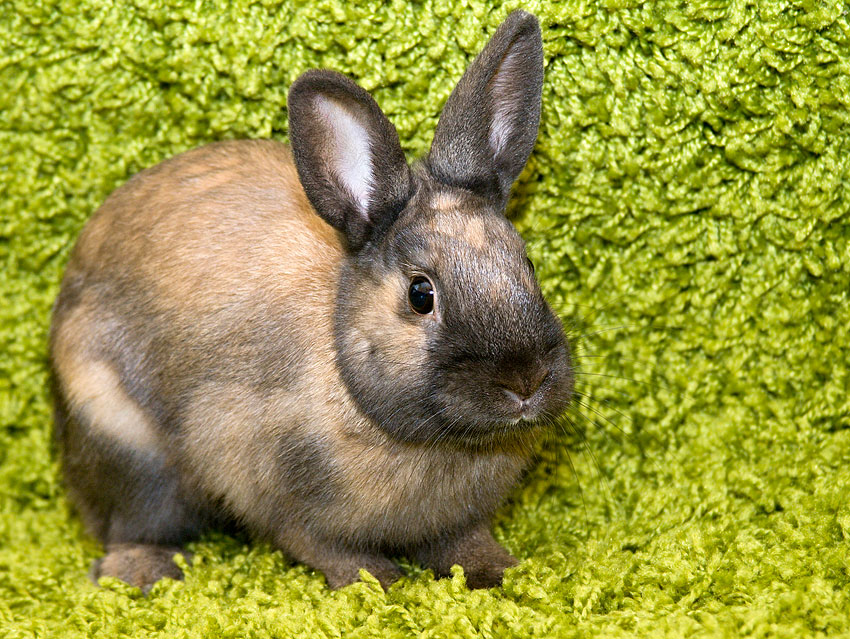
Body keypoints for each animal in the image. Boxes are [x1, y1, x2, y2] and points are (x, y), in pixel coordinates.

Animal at [49, 10, 573, 593]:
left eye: (527, 265)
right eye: (421, 295)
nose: (525, 381)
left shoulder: (454, 520)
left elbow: (460, 540)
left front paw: (497, 570)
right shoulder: (263, 477)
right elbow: (317, 543)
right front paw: (375, 580)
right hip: (126, 444)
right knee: (127, 526)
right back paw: (149, 572)